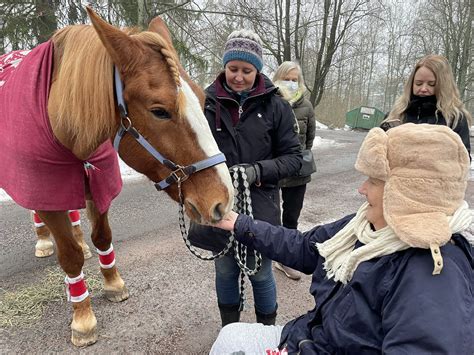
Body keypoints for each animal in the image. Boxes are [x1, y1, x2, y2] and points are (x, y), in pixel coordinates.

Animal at [0, 7, 233, 348]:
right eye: (160, 110)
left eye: (203, 99)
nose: (222, 201)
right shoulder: (47, 187)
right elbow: (70, 258)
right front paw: (82, 316)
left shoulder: (98, 183)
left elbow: (102, 237)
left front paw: (112, 282)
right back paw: (44, 240)